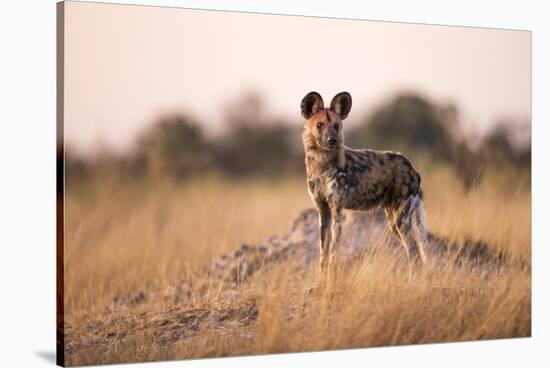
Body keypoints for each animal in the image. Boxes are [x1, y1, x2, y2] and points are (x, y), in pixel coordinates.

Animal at [304, 92, 430, 276]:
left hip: (400, 219)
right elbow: (323, 258)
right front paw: (321, 282)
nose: (332, 140)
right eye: (320, 125)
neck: (321, 165)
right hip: (393, 222)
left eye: (336, 126)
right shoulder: (324, 213)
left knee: (414, 253)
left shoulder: (337, 213)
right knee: (417, 255)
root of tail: (413, 168)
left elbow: (333, 258)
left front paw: (331, 282)